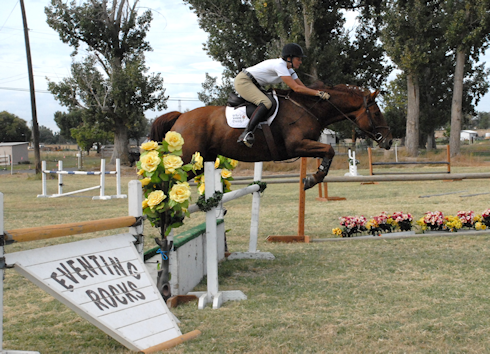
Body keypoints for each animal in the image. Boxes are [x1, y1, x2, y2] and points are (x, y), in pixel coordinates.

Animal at [149, 82, 394, 189]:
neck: (308, 108)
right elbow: (330, 149)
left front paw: (313, 177)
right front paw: (312, 179)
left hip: (201, 162)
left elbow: (328, 152)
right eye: (376, 112)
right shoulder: (297, 145)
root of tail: (181, 116)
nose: (389, 140)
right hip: (186, 160)